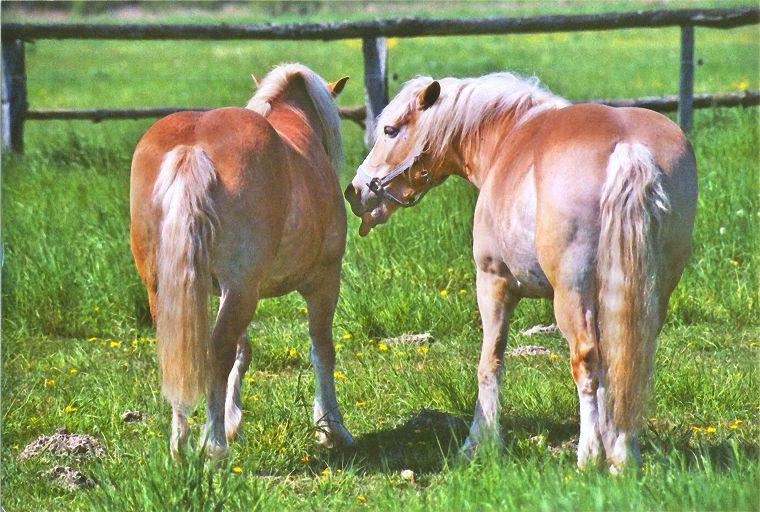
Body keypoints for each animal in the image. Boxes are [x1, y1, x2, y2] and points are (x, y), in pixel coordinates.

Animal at [129, 64, 354, 460]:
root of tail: (193, 146)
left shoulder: (224, 290)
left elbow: (242, 351)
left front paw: (234, 421)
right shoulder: (325, 281)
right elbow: (322, 350)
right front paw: (332, 428)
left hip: (171, 289)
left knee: (181, 354)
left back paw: (181, 444)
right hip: (242, 291)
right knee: (215, 351)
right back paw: (214, 445)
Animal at [348, 72, 696, 472]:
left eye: (390, 130)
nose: (355, 190)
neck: (507, 137)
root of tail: (628, 149)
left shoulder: (493, 283)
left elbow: (490, 363)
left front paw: (477, 444)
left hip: (571, 295)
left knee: (586, 361)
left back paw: (588, 456)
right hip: (651, 291)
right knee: (631, 361)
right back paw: (623, 455)